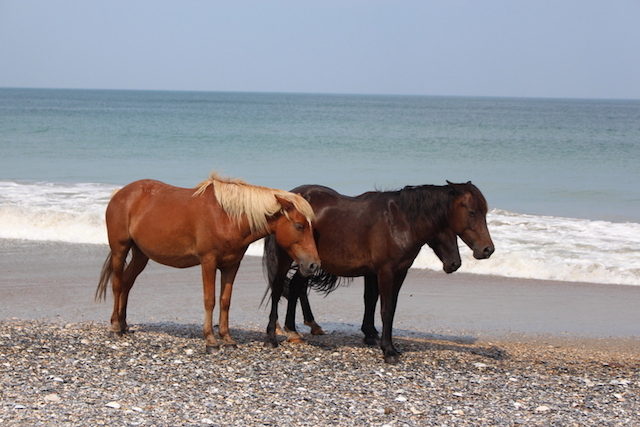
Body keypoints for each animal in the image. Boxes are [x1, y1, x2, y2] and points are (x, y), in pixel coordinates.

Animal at [96, 172, 320, 352]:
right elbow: (210, 300)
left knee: (127, 283)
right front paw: (211, 341)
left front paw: (227, 339)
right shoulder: (208, 262)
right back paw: (115, 327)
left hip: (141, 255)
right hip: (120, 249)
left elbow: (225, 301)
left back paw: (124, 325)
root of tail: (120, 194)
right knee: (118, 284)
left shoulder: (231, 265)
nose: (313, 264)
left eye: (312, 227)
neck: (227, 218)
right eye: (299, 226)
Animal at [264, 182, 496, 366]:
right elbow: (386, 309)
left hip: (307, 264)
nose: (487, 250)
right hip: (288, 259)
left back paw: (294, 330)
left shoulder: (396, 272)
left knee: (296, 288)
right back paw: (274, 335)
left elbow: (378, 303)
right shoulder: (386, 271)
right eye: (472, 211)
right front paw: (388, 350)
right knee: (280, 289)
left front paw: (375, 337)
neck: (399, 222)